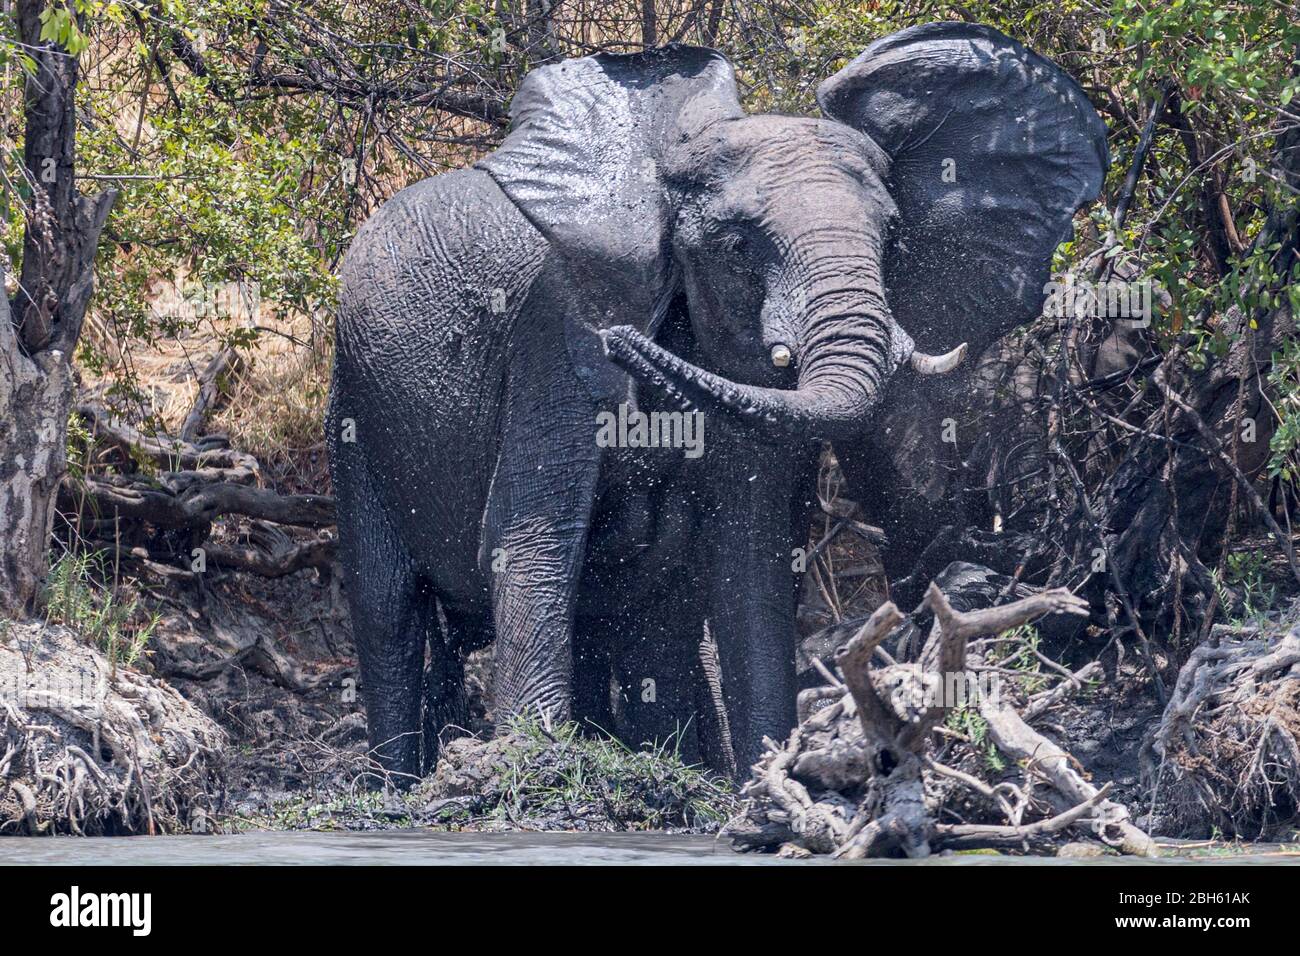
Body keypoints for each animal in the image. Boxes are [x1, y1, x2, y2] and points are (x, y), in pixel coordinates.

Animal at [326, 21, 1109, 782]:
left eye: (891, 238)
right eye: (737, 247)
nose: (623, 344)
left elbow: (748, 557)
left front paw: (763, 779)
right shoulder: (554, 332)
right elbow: (532, 537)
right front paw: (526, 765)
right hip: (351, 392)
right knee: (388, 604)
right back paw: (398, 788)